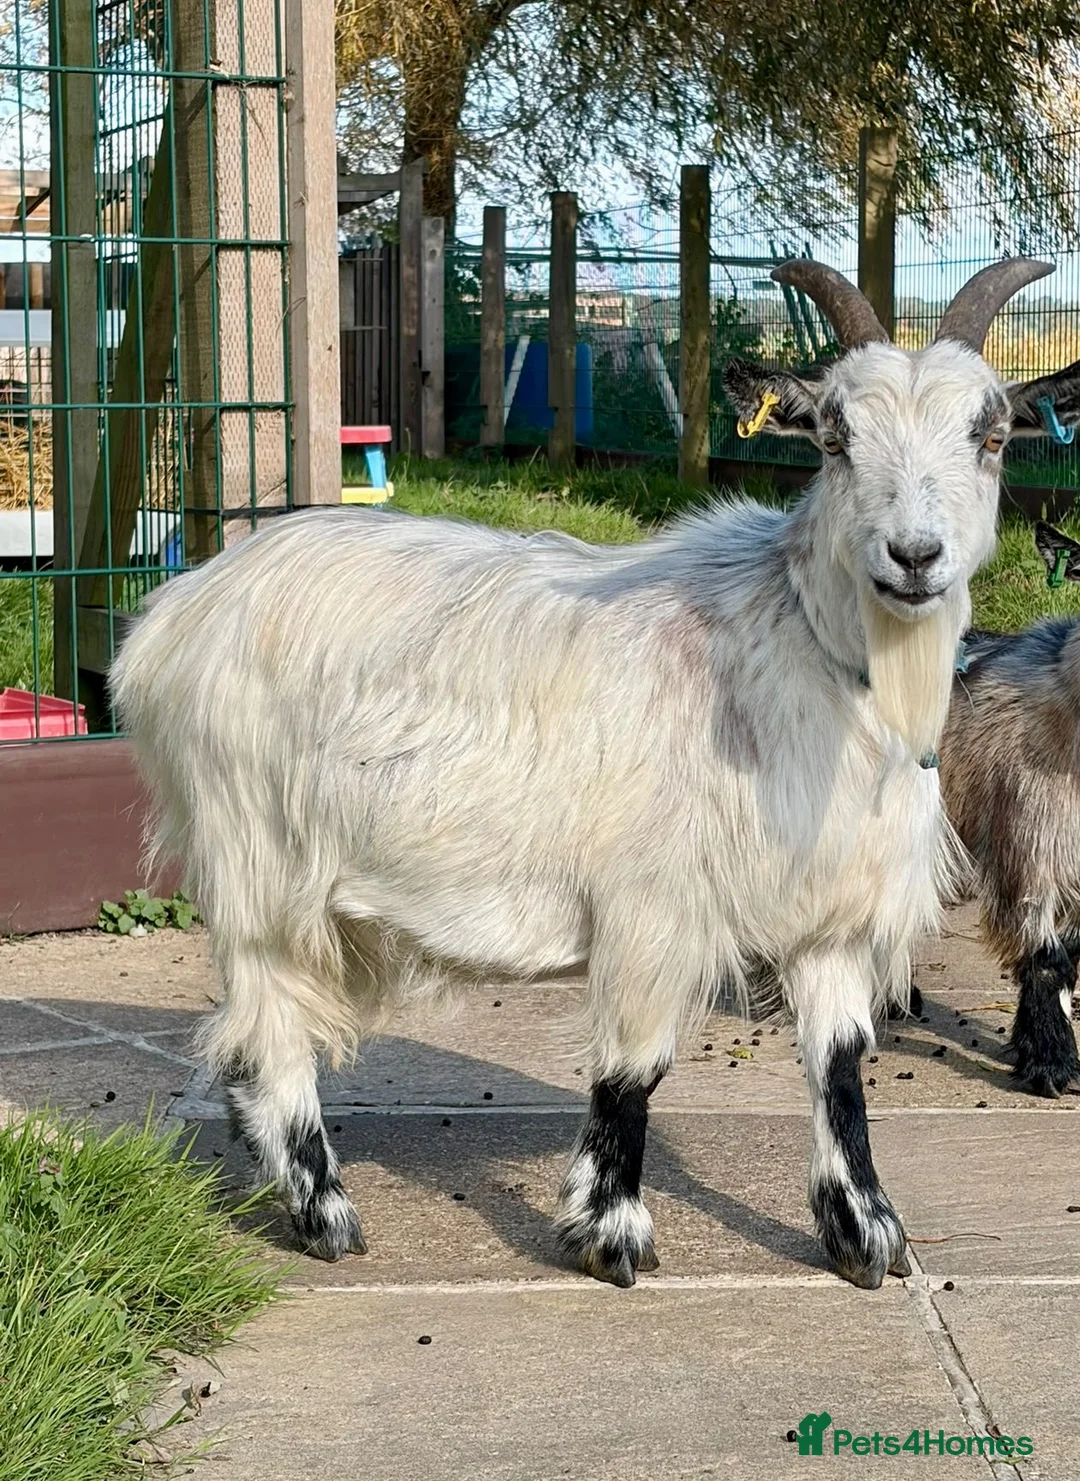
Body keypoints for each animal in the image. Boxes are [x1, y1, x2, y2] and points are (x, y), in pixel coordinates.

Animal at [112, 258, 1080, 1292]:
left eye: (989, 435)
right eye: (834, 437)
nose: (914, 557)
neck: (797, 644)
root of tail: (170, 618)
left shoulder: (833, 915)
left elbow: (841, 1068)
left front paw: (866, 1232)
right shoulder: (653, 903)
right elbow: (633, 1069)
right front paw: (610, 1233)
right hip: (254, 852)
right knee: (276, 1021)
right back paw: (322, 1209)